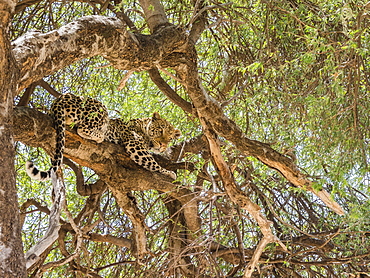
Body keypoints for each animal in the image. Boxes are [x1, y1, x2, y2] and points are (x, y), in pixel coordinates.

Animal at [24, 92, 181, 181]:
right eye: (160, 130)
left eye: (170, 138)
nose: (162, 145)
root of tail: (59, 100)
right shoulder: (135, 145)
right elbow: (153, 163)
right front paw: (169, 173)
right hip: (99, 107)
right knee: (82, 128)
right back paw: (101, 135)